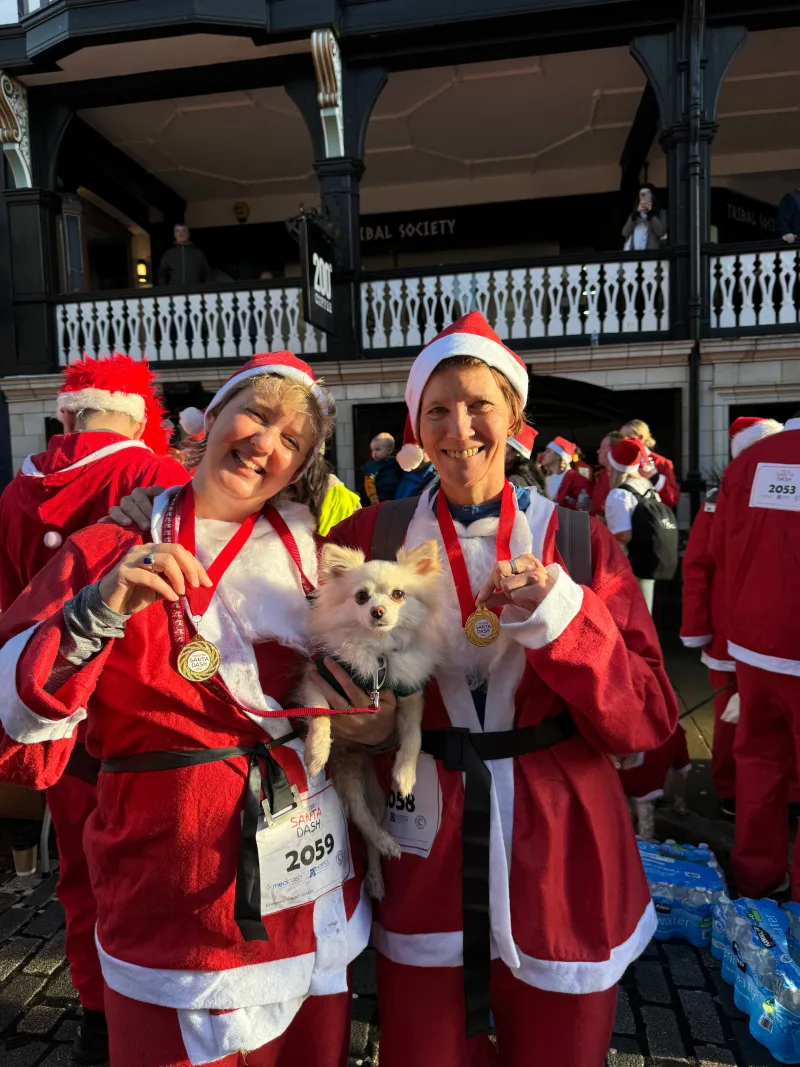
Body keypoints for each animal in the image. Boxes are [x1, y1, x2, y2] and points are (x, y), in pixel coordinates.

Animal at [298, 537, 441, 896]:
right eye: (361, 597)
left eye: (398, 595)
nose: (377, 611)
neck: (378, 655)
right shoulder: (317, 679)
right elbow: (319, 714)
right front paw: (315, 752)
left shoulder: (409, 696)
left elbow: (413, 737)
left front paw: (405, 775)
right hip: (347, 772)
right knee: (362, 821)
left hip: (372, 792)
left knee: (369, 827)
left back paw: (379, 866)